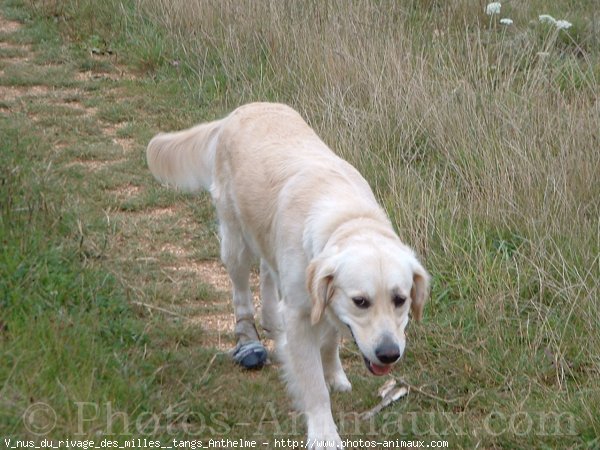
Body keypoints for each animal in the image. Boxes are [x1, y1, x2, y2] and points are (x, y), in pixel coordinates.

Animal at [146, 103, 428, 448]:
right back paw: (248, 334)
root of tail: (240, 111)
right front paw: (324, 433)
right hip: (235, 241)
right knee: (241, 290)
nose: (389, 354)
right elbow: (313, 385)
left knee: (268, 273)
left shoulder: (324, 300)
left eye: (400, 300)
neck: (347, 219)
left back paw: (272, 322)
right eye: (361, 301)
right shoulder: (301, 313)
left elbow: (330, 342)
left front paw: (335, 375)